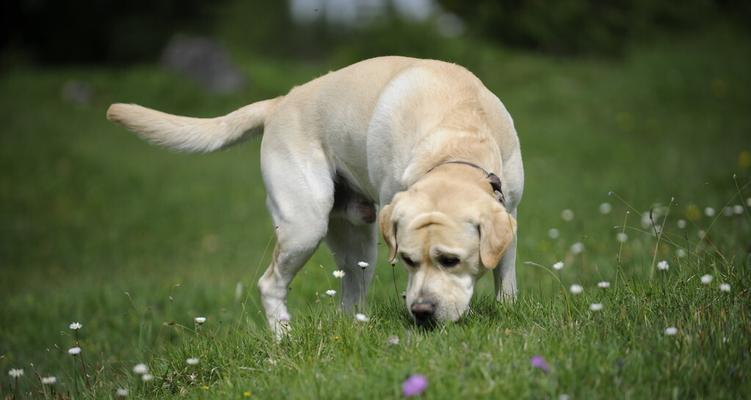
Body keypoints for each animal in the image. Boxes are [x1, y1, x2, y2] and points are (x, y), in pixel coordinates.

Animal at [107, 55, 524, 338]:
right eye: (407, 260)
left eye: (451, 260)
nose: (421, 312)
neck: (456, 136)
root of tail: (279, 102)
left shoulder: (510, 211)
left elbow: (504, 273)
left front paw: (507, 310)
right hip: (304, 225)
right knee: (270, 283)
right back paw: (284, 338)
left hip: (358, 240)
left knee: (350, 295)